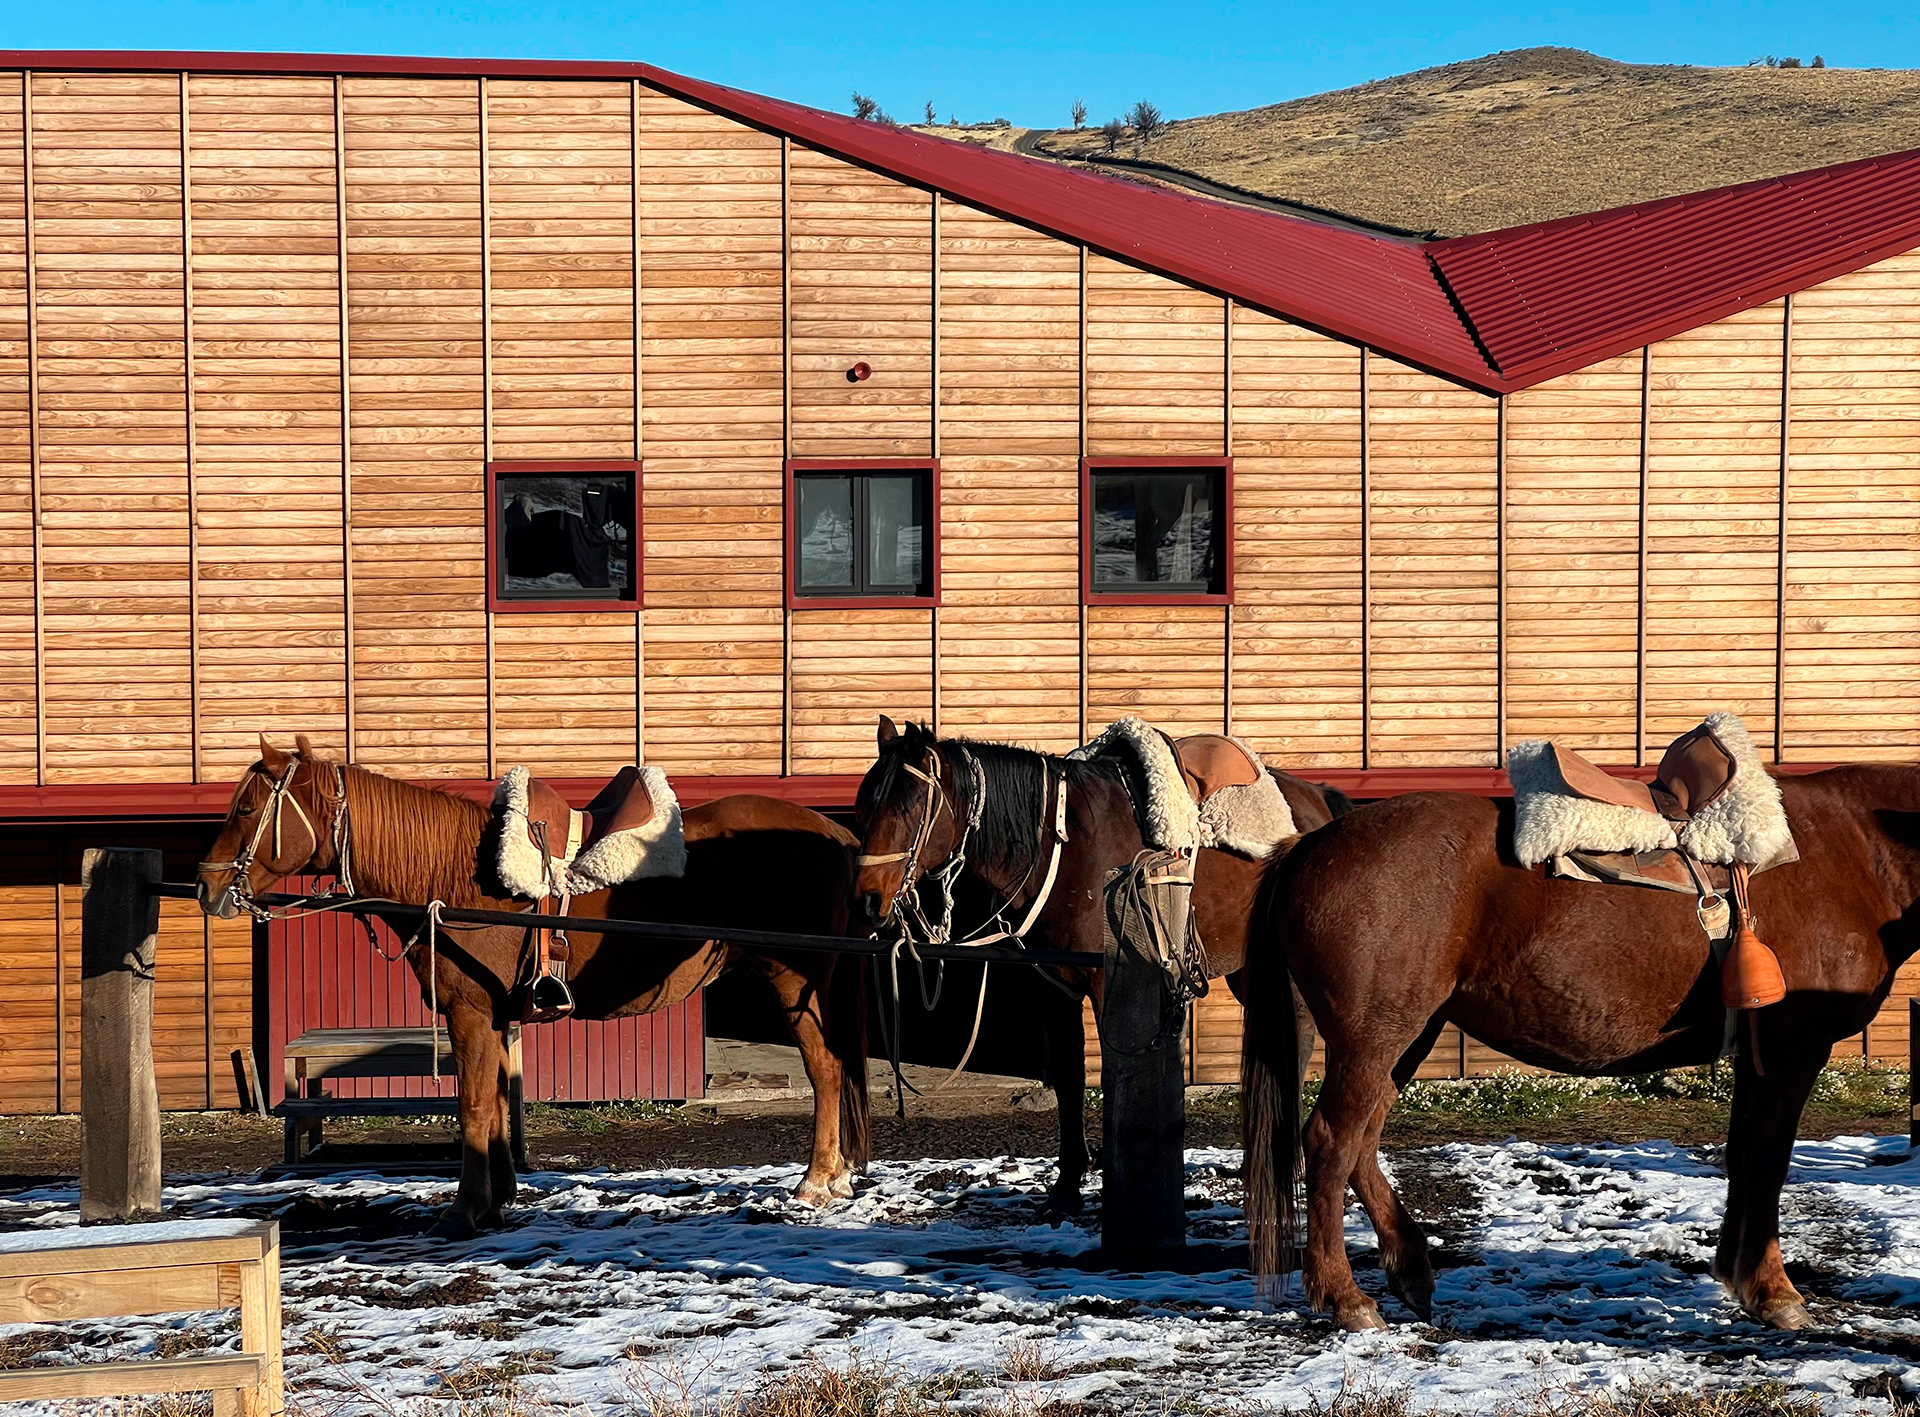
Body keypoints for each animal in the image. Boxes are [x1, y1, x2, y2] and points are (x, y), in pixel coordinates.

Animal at [198, 733, 867, 1228]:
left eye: (248, 808)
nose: (206, 885)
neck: (457, 878)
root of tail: (836, 833)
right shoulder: (494, 1018)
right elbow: (496, 1103)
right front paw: (497, 1198)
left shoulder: (469, 1013)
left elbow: (471, 1105)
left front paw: (466, 1210)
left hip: (793, 980)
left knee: (825, 1069)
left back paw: (815, 1181)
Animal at [856, 718, 1351, 1213]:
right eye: (862, 806)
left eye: (907, 808)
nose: (868, 898)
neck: (1065, 848)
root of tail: (1321, 803)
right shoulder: (1050, 987)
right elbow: (1070, 1075)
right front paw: (1066, 1189)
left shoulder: (1108, 982)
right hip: (1248, 969)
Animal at [1236, 760, 1920, 1320]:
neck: (1855, 850)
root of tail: (1308, 845)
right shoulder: (1792, 1049)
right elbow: (1768, 1158)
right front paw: (1773, 1290)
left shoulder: (1762, 1056)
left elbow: (1744, 1154)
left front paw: (1741, 1276)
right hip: (1376, 1035)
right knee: (1331, 1142)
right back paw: (1344, 1298)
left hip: (1405, 1036)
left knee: (1363, 1141)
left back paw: (1409, 1271)